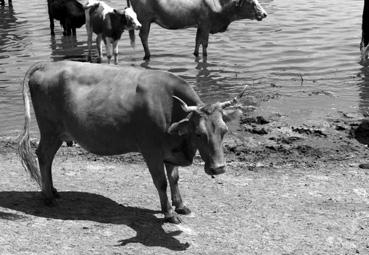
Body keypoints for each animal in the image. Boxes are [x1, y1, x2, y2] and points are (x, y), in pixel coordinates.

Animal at [18, 60, 246, 224]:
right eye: (199, 133)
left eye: (224, 131)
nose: (219, 168)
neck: (169, 106)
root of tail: (48, 65)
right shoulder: (151, 150)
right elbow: (161, 182)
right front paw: (169, 213)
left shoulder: (170, 150)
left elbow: (174, 178)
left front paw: (180, 205)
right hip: (50, 131)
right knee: (44, 156)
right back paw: (48, 195)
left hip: (57, 133)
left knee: (47, 159)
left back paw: (53, 190)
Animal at [126, 0, 264, 59]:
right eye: (252, 2)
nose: (264, 14)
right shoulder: (206, 24)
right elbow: (205, 43)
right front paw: (205, 55)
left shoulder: (200, 25)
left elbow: (198, 41)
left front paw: (196, 54)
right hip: (145, 20)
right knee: (144, 37)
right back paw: (148, 55)